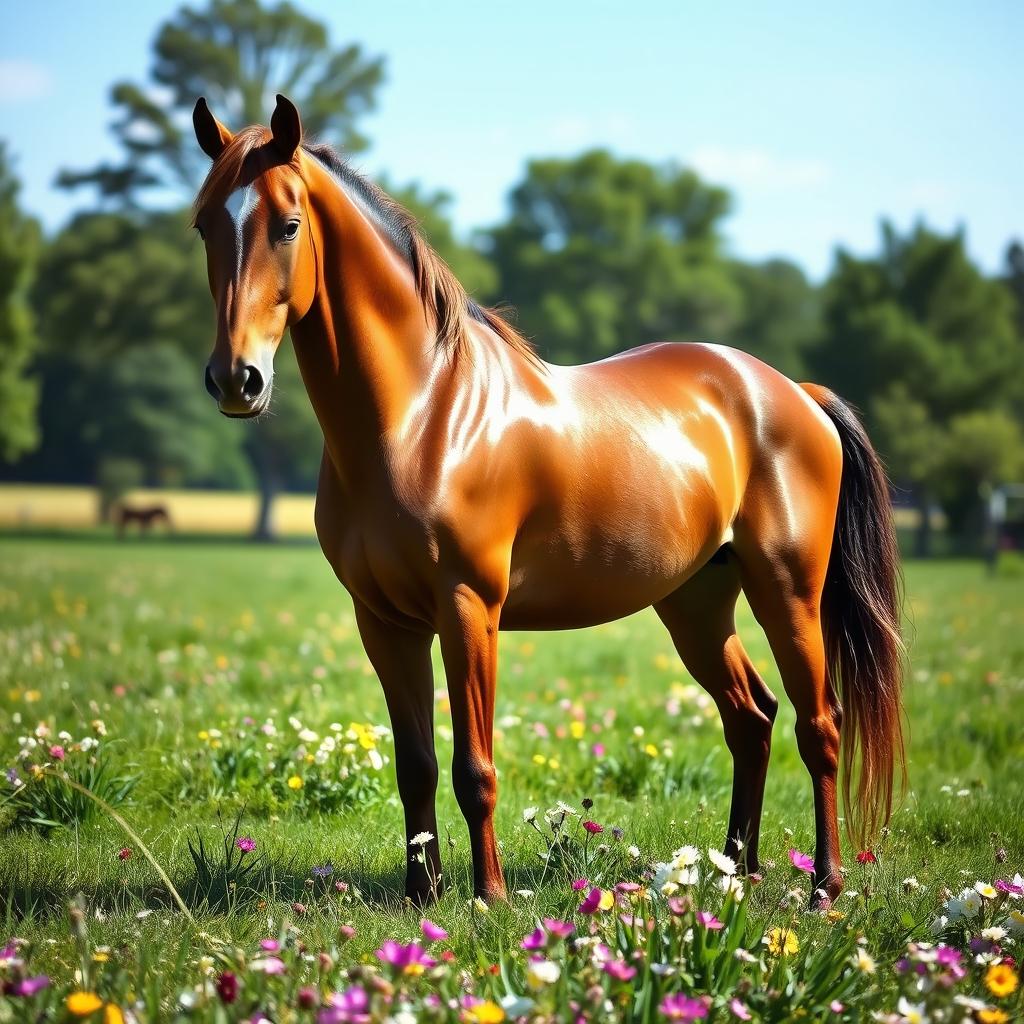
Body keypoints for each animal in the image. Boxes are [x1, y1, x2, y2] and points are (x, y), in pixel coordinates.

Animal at [190, 96, 905, 909]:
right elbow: (416, 767)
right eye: (204, 222)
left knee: (819, 727)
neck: (423, 415)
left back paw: (824, 887)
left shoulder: (469, 609)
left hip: (787, 592)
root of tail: (794, 393)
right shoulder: (385, 622)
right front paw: (422, 896)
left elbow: (474, 767)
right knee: (750, 719)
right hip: (696, 602)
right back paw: (735, 873)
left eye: (287, 224)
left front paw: (490, 897)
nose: (235, 379)